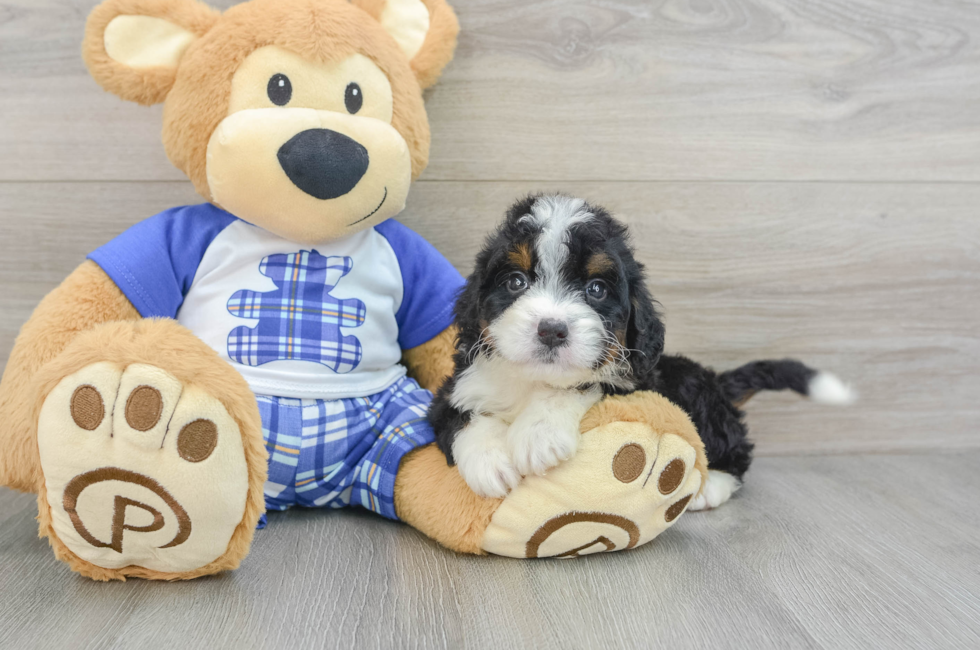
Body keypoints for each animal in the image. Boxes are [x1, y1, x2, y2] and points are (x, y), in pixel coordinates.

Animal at [430, 195, 856, 504]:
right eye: (516, 281)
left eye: (596, 289)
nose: (551, 330)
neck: (532, 380)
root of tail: (715, 381)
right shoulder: (453, 388)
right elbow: (460, 417)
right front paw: (491, 463)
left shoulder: (634, 381)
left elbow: (585, 383)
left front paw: (539, 435)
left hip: (695, 395)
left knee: (736, 448)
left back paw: (712, 486)